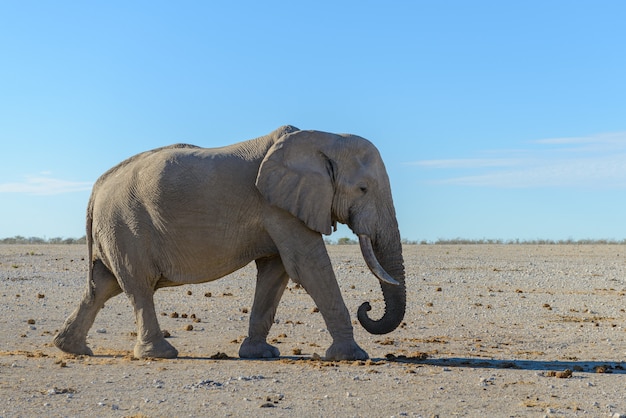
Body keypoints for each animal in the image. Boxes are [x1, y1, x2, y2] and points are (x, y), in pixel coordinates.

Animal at [52, 125, 404, 360]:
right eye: (362, 189)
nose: (367, 306)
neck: (323, 138)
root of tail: (97, 186)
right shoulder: (277, 206)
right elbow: (307, 265)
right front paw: (352, 356)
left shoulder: (279, 208)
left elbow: (276, 271)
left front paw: (260, 354)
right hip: (126, 226)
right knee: (138, 286)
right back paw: (160, 354)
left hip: (116, 230)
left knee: (103, 285)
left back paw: (72, 348)